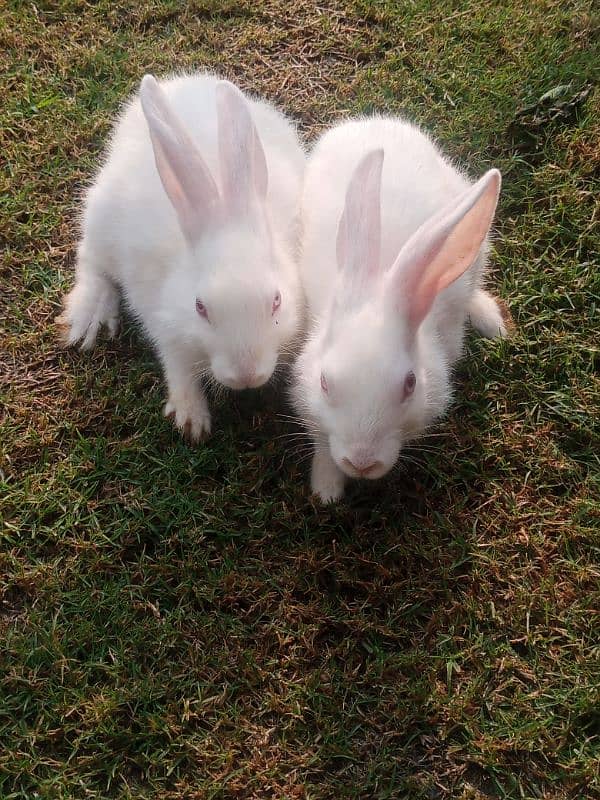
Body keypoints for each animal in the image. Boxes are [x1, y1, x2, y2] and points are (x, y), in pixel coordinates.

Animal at [60, 72, 304, 440]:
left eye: (276, 301)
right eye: (200, 308)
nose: (246, 375)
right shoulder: (163, 322)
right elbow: (177, 365)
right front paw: (192, 421)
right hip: (99, 219)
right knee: (91, 261)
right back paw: (89, 317)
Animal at [290, 115, 506, 504]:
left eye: (410, 384)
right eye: (325, 383)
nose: (362, 461)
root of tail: (375, 119)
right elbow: (321, 442)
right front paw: (327, 490)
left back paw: (491, 321)